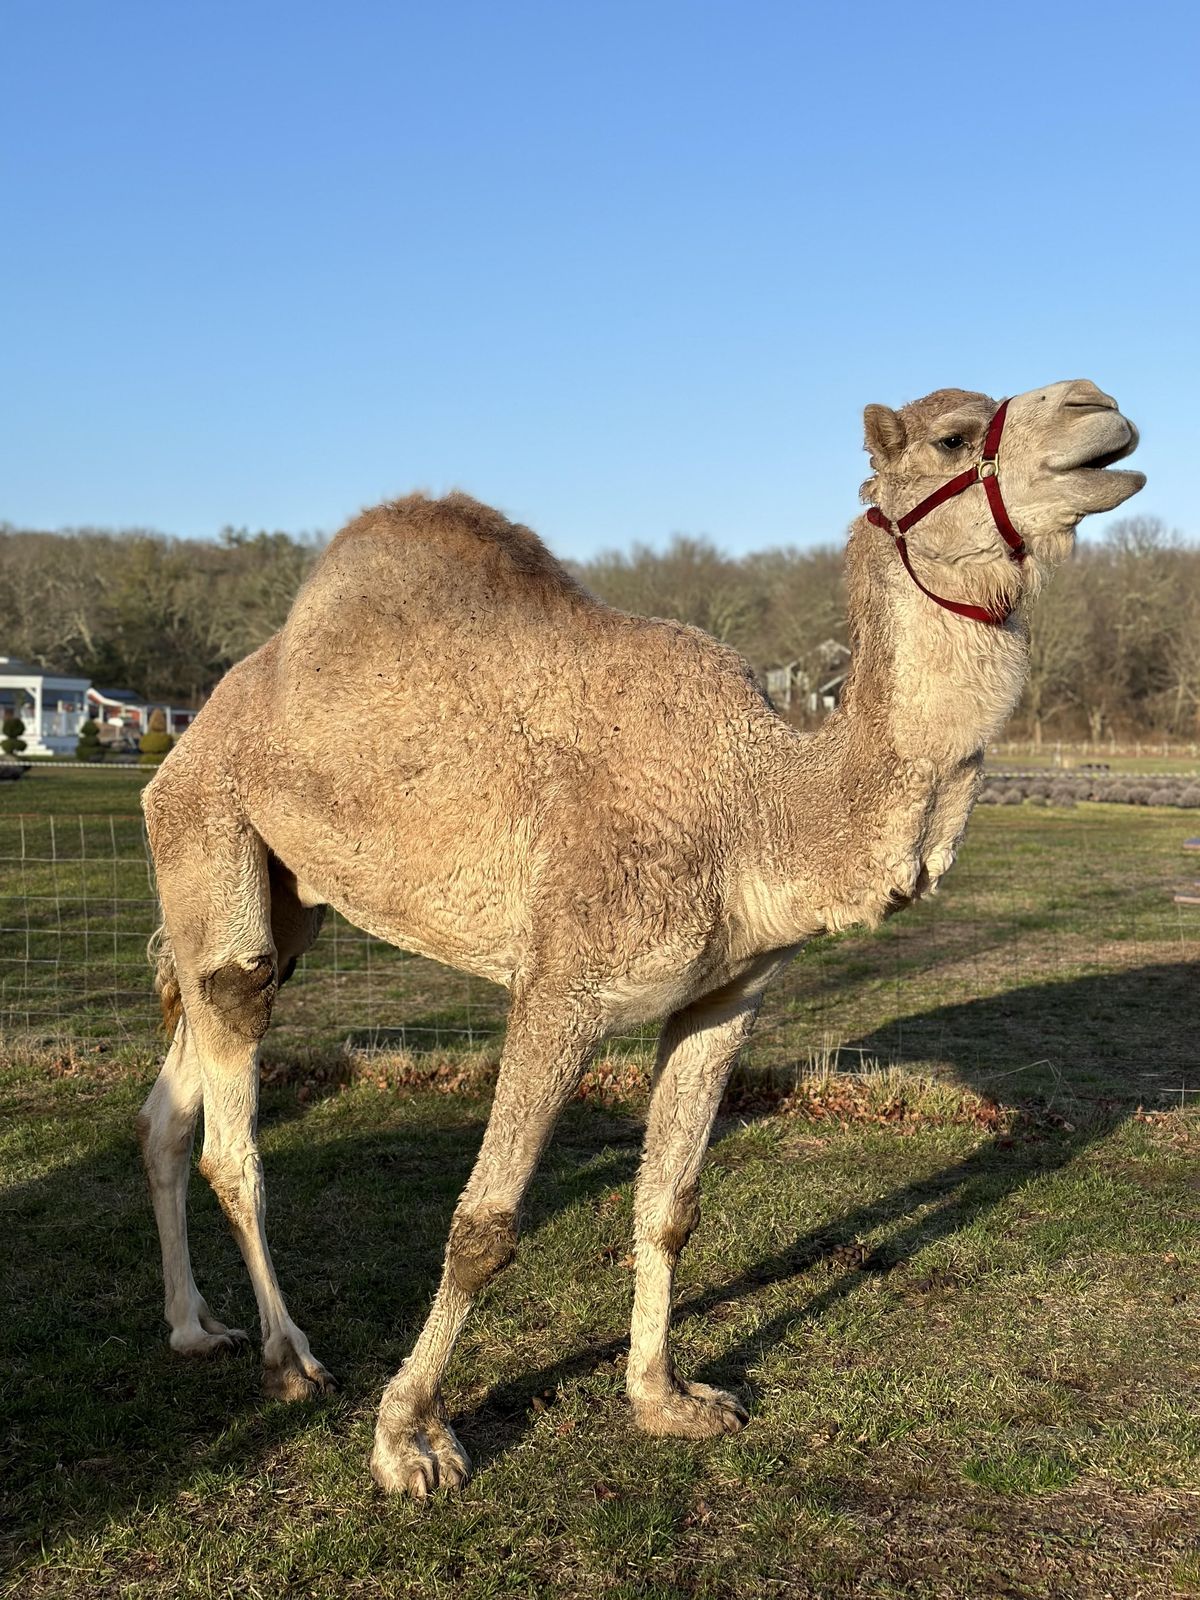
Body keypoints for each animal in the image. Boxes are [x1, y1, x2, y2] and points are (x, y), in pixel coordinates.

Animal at [137, 378, 1143, 1496]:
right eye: (954, 438)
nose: (1101, 409)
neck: (758, 803)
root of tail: (193, 729)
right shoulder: (563, 984)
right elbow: (484, 1225)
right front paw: (411, 1440)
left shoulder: (726, 996)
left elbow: (672, 1203)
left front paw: (666, 1397)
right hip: (210, 835)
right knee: (233, 1123)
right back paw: (290, 1357)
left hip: (287, 898)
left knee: (170, 1103)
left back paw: (195, 1328)